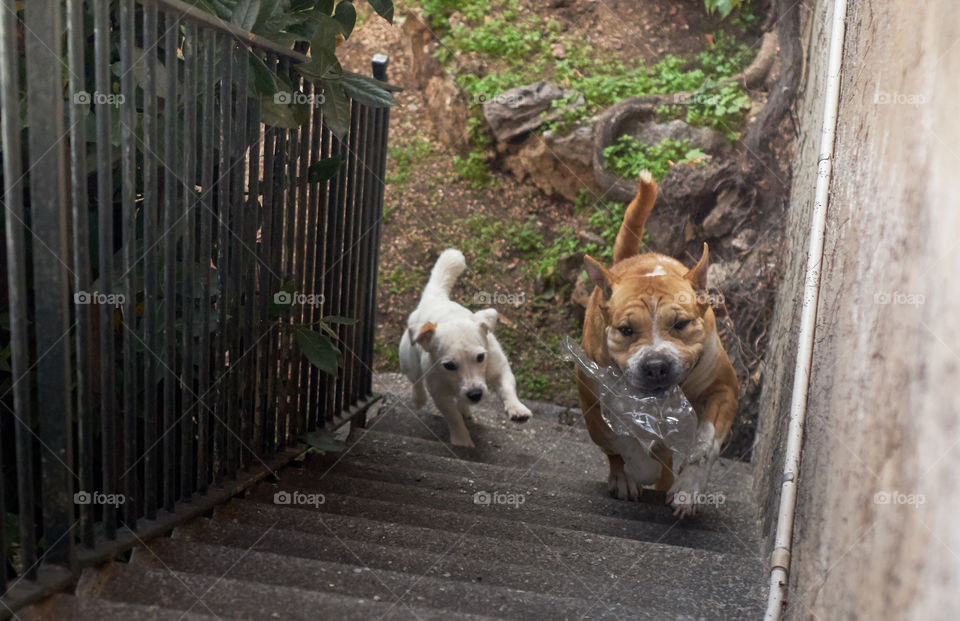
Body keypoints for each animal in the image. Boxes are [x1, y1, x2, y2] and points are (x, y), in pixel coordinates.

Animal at [398, 247, 532, 446]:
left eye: (481, 357)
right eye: (449, 365)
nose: (475, 394)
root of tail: (434, 298)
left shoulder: (499, 368)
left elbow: (507, 388)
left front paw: (517, 409)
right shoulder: (440, 395)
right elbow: (453, 418)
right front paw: (462, 441)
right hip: (409, 361)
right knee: (416, 381)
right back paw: (419, 399)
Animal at [572, 172, 740, 516]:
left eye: (681, 324)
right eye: (625, 330)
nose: (656, 365)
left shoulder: (724, 388)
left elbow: (707, 441)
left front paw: (689, 487)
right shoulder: (595, 402)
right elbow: (621, 442)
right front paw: (640, 469)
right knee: (616, 452)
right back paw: (625, 478)